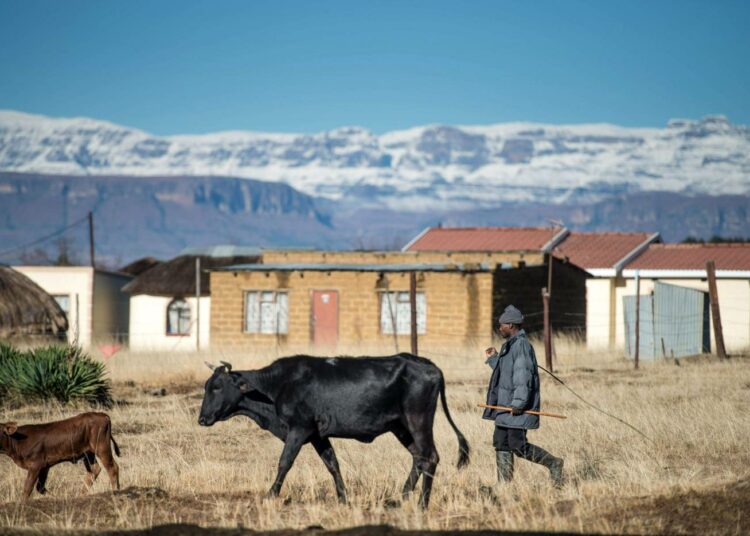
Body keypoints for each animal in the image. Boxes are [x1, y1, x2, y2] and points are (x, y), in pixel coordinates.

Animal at [200, 354, 470, 508]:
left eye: (217, 387)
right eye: (207, 386)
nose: (202, 419)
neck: (277, 386)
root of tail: (430, 366)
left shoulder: (299, 429)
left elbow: (285, 462)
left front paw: (270, 495)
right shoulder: (318, 436)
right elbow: (332, 464)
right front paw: (343, 498)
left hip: (418, 420)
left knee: (430, 457)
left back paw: (422, 503)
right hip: (401, 427)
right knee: (418, 457)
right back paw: (401, 497)